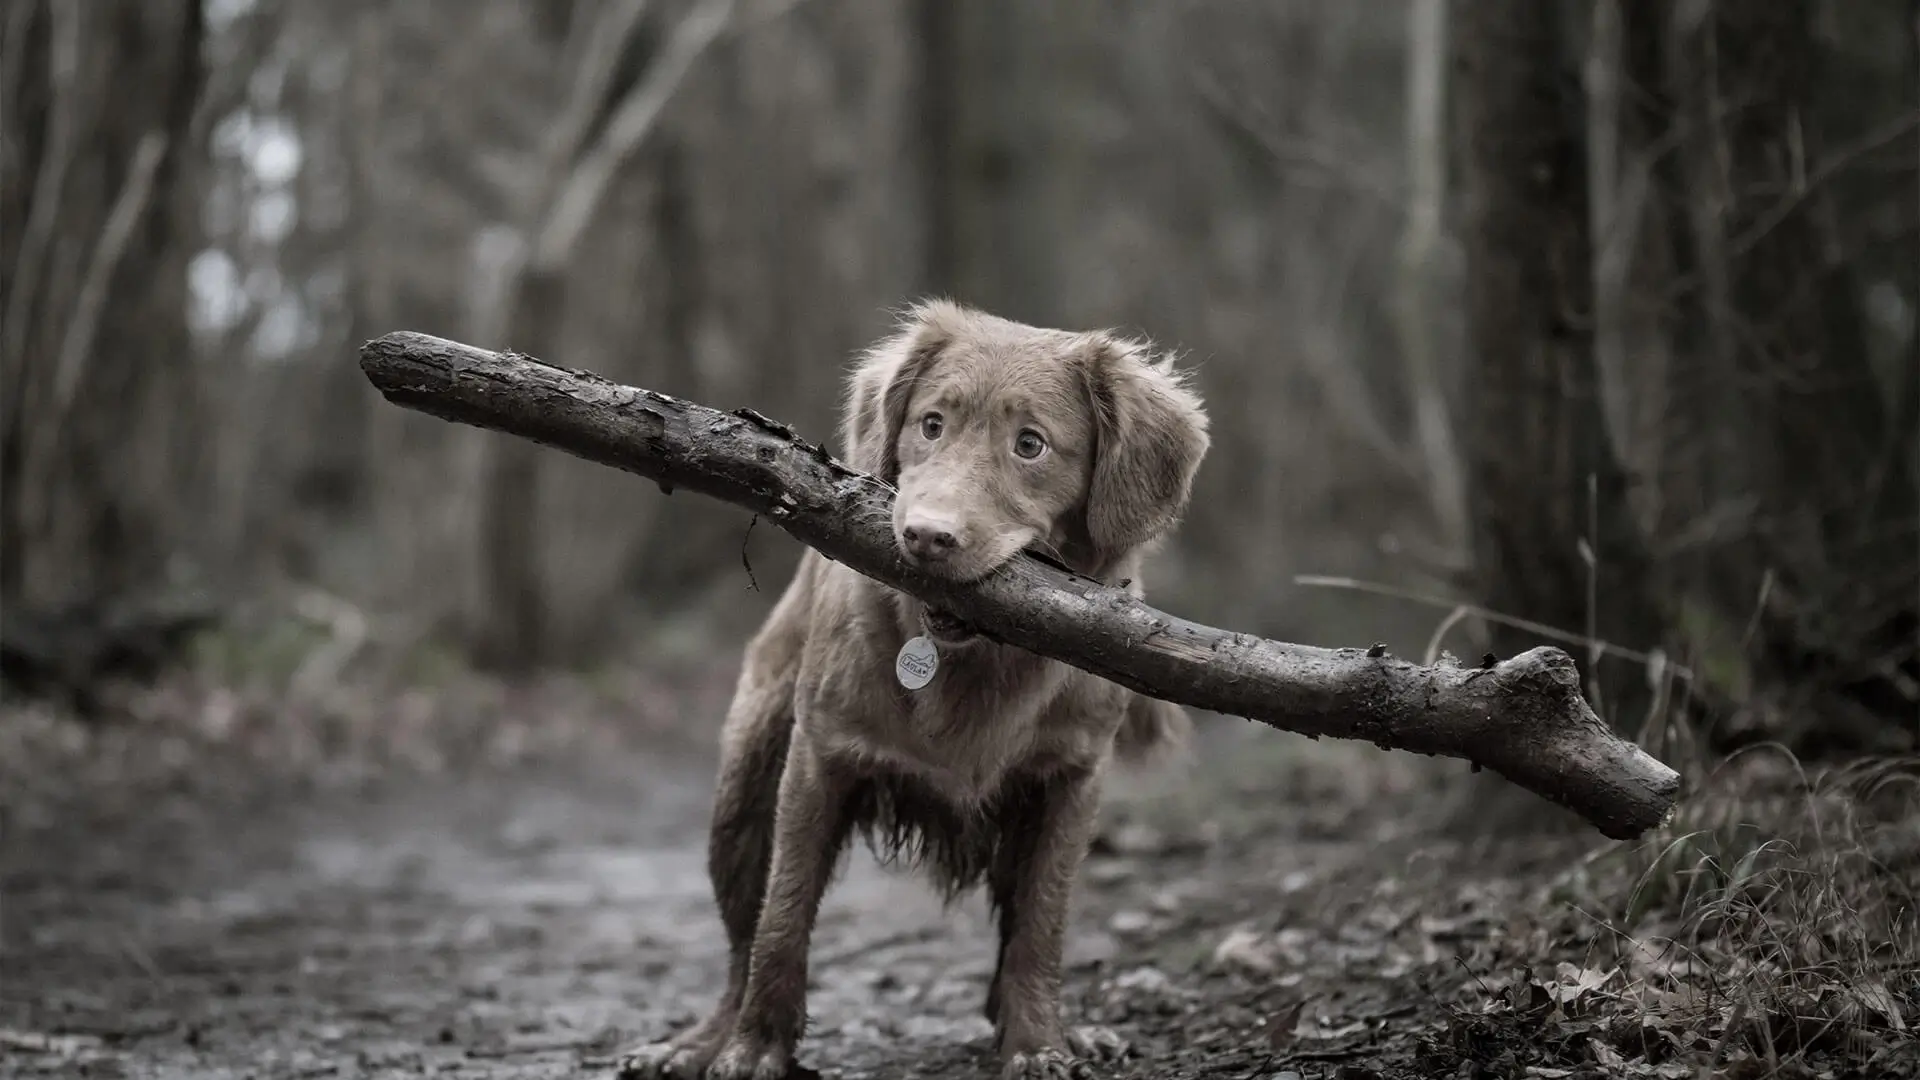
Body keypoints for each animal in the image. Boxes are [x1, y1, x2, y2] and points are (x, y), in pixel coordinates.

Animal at [622, 295, 1205, 1076]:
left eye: (1030, 445)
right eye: (932, 424)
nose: (927, 536)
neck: (974, 659)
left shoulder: (1070, 781)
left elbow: (1041, 926)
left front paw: (1038, 1043)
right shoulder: (818, 760)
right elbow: (783, 917)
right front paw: (754, 1048)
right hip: (742, 790)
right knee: (742, 940)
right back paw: (701, 1041)